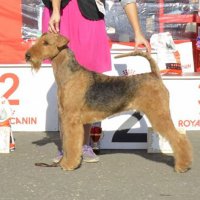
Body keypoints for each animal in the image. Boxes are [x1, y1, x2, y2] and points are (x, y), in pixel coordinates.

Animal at [25, 32, 192, 172]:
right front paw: (66, 162)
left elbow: (71, 144)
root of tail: (154, 74)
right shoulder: (66, 118)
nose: (27, 55)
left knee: (179, 138)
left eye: (46, 43)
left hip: (159, 114)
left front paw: (68, 165)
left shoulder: (71, 120)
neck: (69, 75)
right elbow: (67, 143)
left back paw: (183, 165)